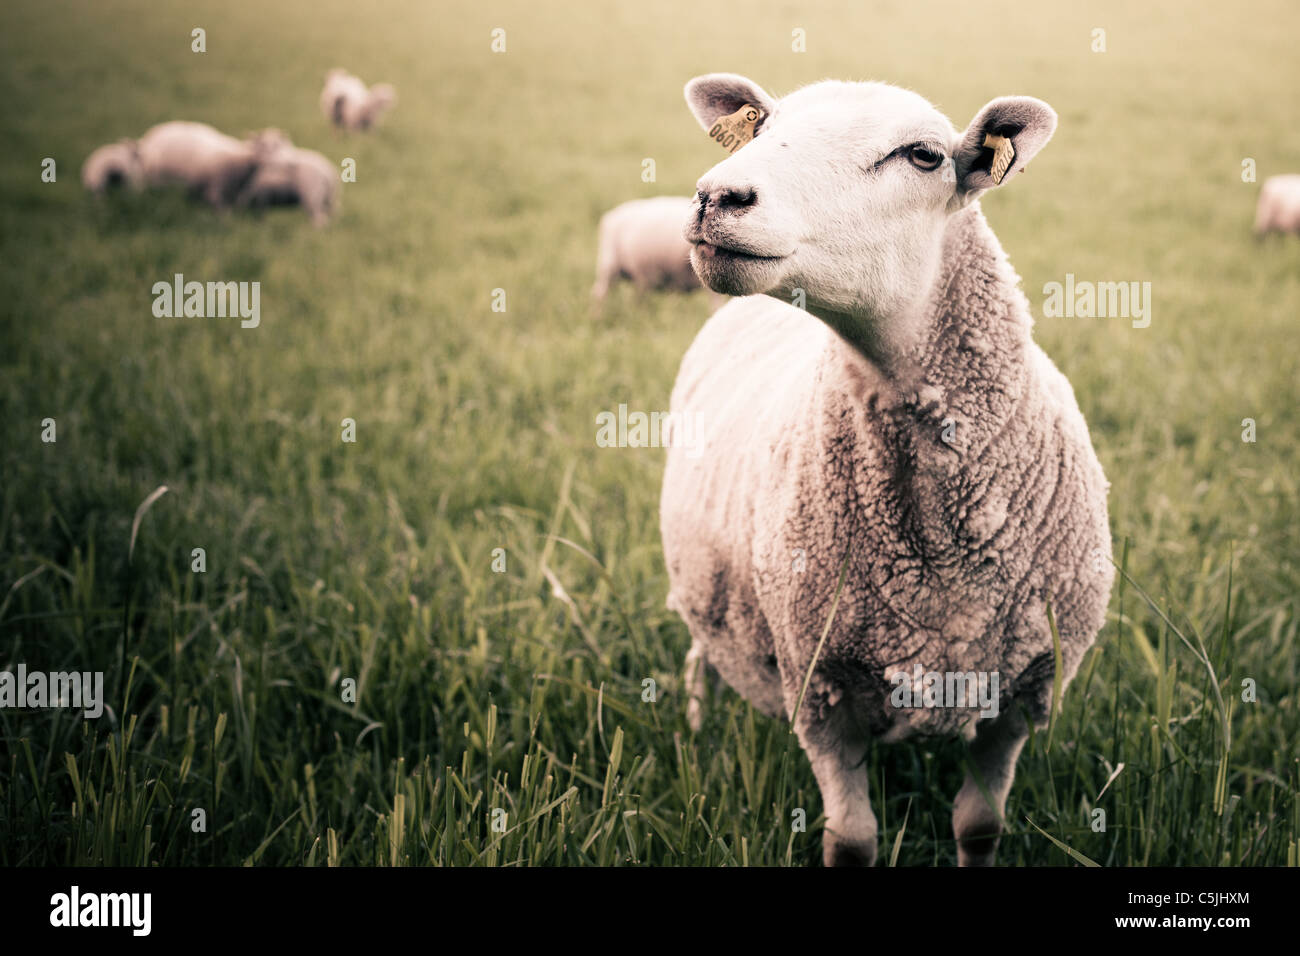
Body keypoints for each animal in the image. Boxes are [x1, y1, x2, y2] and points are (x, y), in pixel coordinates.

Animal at [660, 74, 1114, 867]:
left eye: (924, 155)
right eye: (761, 128)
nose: (717, 195)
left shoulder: (1021, 697)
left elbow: (979, 825)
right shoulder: (819, 689)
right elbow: (851, 841)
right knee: (699, 654)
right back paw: (694, 724)